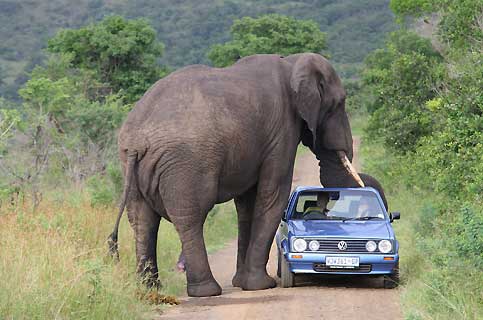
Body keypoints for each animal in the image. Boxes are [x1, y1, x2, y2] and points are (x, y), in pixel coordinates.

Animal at [107, 53, 364, 298]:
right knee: (191, 217)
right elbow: (273, 196)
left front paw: (242, 283)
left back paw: (150, 290)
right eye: (339, 103)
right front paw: (261, 286)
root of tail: (137, 141)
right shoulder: (282, 131)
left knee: (142, 221)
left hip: (130, 164)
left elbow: (247, 205)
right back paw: (206, 291)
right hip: (185, 164)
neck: (292, 62)